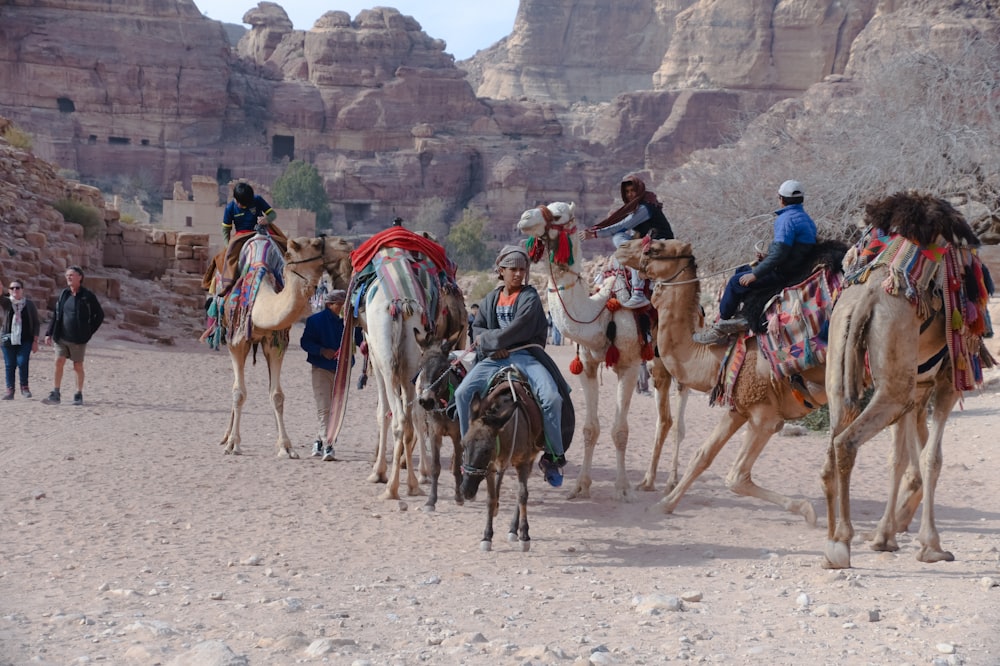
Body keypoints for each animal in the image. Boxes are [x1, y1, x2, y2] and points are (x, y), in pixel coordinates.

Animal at [217, 233, 354, 456]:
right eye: (316, 243)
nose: (346, 243)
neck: (261, 303)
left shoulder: (275, 343)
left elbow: (277, 395)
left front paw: (285, 446)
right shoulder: (236, 342)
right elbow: (238, 393)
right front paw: (234, 444)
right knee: (236, 388)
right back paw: (227, 437)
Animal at [516, 200, 688, 500]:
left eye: (557, 214)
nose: (525, 218)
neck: (597, 312)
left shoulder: (629, 366)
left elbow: (619, 431)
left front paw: (622, 488)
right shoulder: (587, 365)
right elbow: (589, 429)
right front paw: (580, 486)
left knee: (678, 422)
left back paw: (670, 482)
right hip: (657, 367)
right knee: (664, 420)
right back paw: (648, 481)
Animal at [612, 236, 832, 520]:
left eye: (654, 247)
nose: (621, 247)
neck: (713, 356)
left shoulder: (765, 415)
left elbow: (737, 477)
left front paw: (806, 510)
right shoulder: (739, 406)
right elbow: (702, 455)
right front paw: (664, 504)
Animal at [820, 191, 992, 564]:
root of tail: (867, 298)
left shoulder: (918, 387)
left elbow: (898, 459)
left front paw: (885, 536)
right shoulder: (945, 380)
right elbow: (931, 459)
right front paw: (932, 545)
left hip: (843, 368)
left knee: (832, 448)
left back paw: (831, 541)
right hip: (895, 384)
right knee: (846, 442)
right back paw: (842, 542)